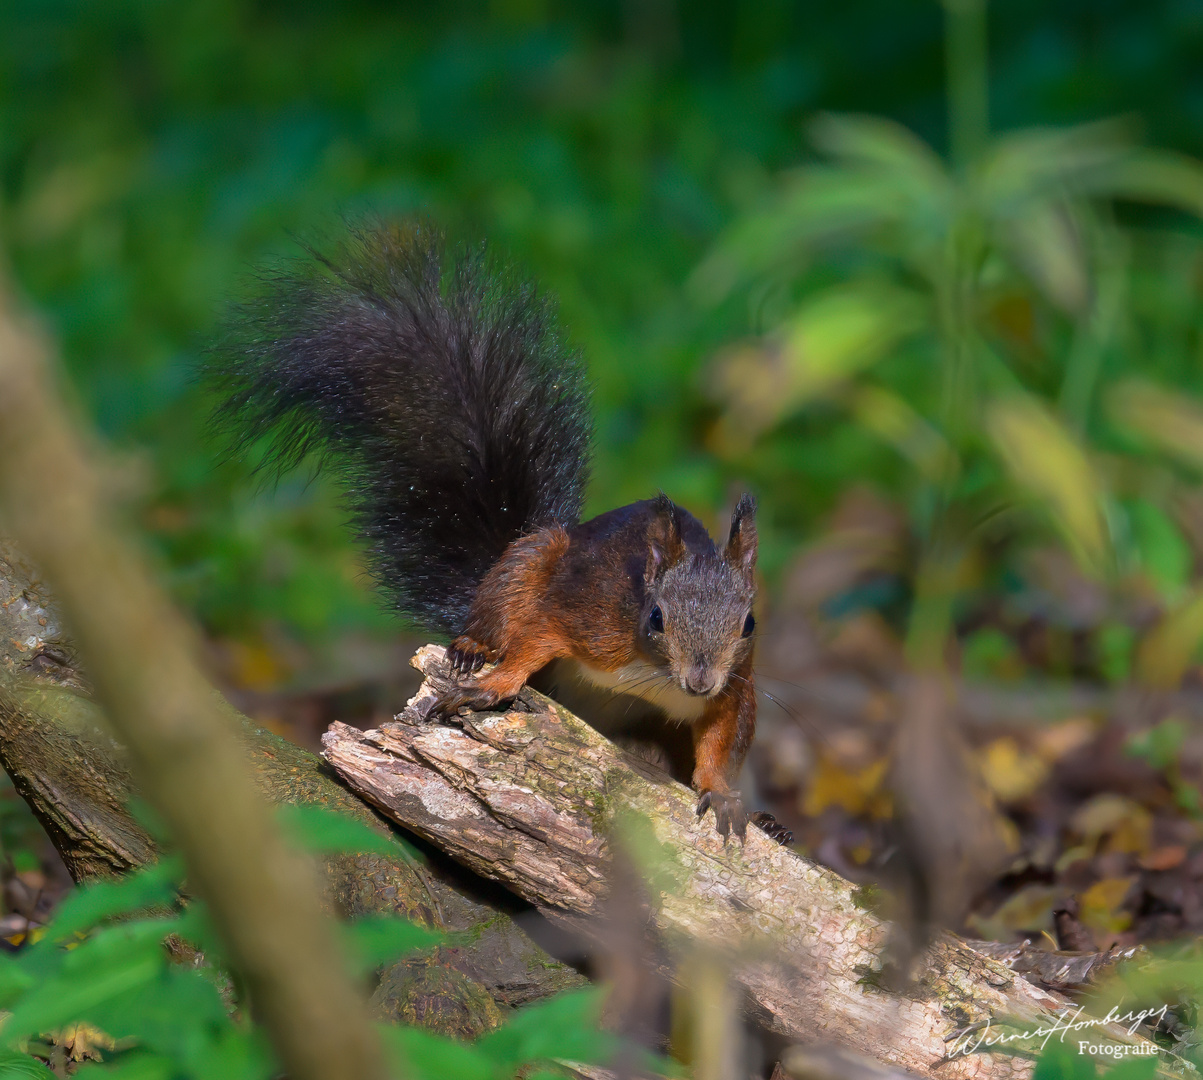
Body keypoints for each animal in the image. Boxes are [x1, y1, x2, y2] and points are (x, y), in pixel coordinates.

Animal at [210, 218, 784, 841]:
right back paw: (472, 644)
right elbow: (535, 637)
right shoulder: (588, 615)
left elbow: (725, 740)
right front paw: (494, 683)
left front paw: (723, 793)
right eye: (655, 617)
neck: (653, 673)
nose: (700, 680)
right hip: (532, 554)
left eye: (750, 622)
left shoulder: (736, 685)